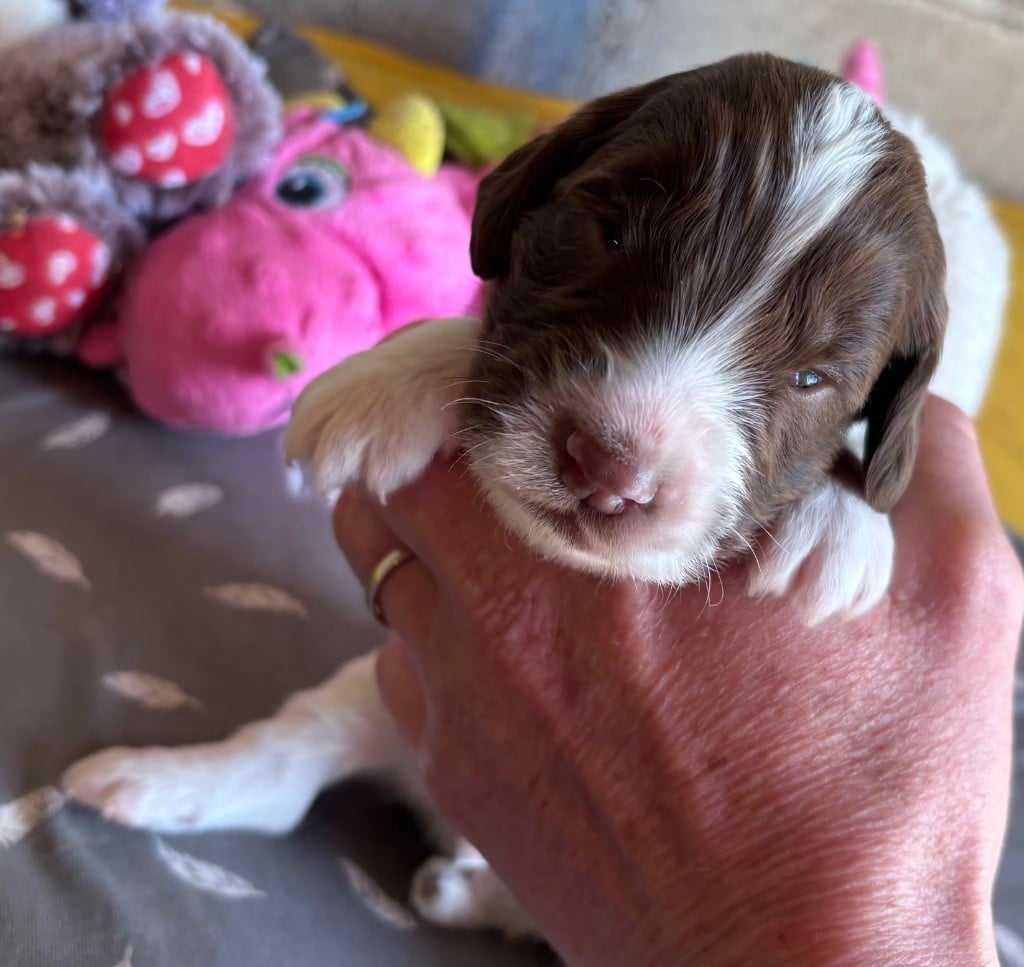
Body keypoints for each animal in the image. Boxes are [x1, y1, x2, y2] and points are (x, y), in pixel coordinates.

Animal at [64, 54, 966, 938]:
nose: (608, 466)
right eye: (608, 235)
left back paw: (455, 890)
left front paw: (840, 523)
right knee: (287, 760)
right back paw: (147, 781)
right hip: (384, 690)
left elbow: (878, 465)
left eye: (814, 378)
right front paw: (388, 380)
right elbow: (479, 336)